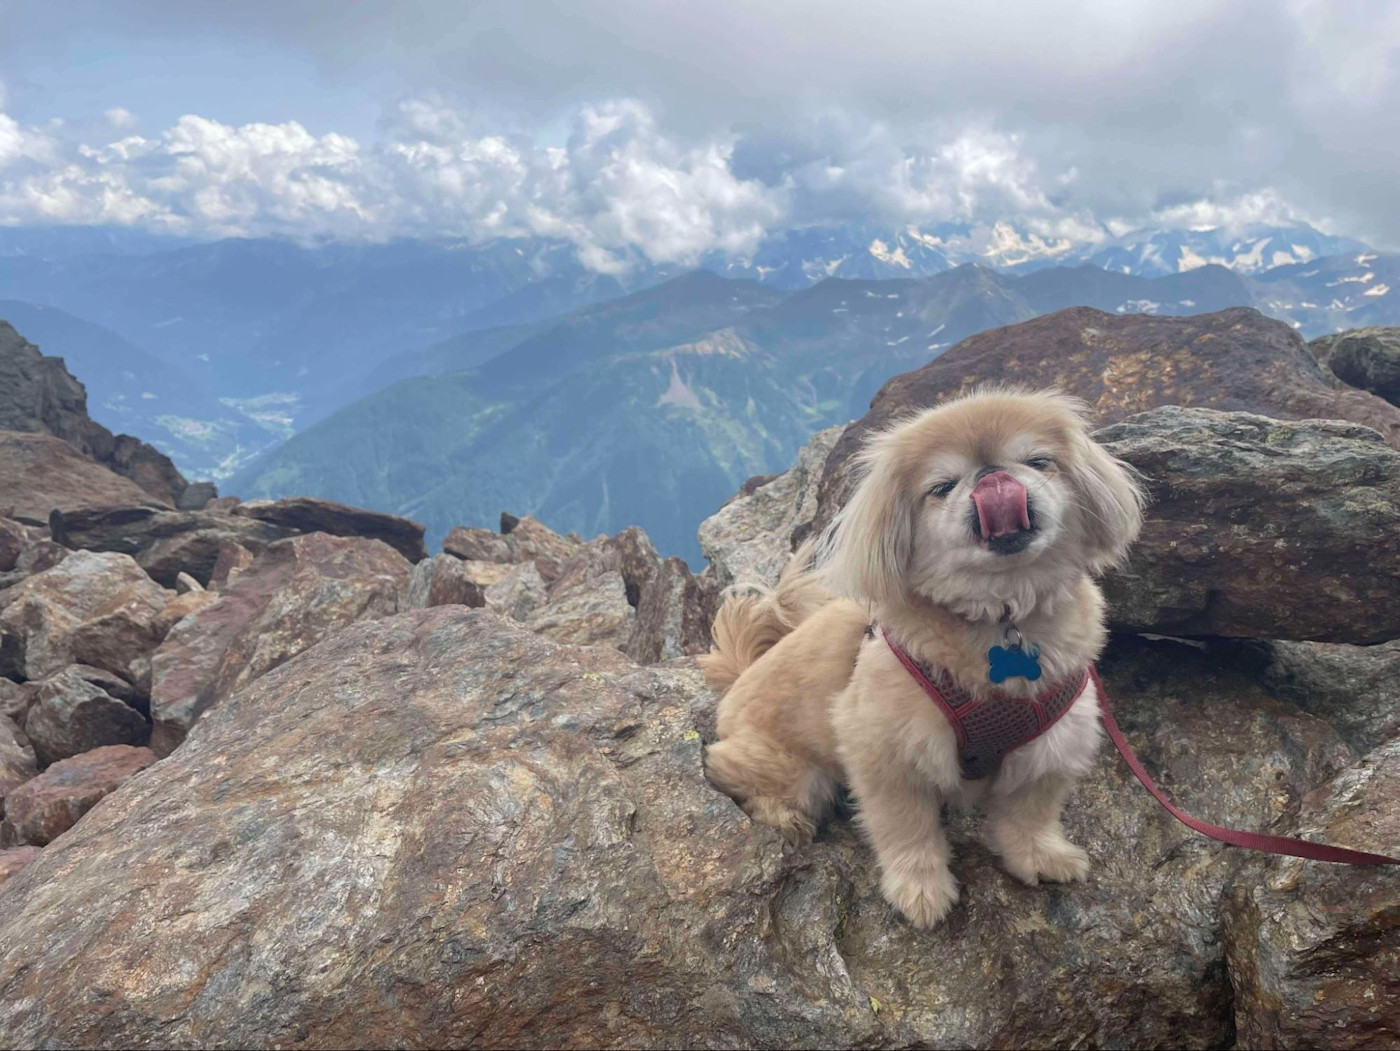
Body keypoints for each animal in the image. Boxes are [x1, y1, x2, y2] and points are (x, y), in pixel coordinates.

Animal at [705, 389, 1142, 929]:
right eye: (942, 486)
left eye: (1039, 462)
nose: (993, 475)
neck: (1003, 614)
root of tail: (739, 677)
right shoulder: (886, 754)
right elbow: (907, 831)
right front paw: (921, 892)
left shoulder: (1050, 747)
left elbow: (1028, 815)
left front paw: (1040, 857)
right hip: (792, 770)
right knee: (728, 769)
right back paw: (785, 816)